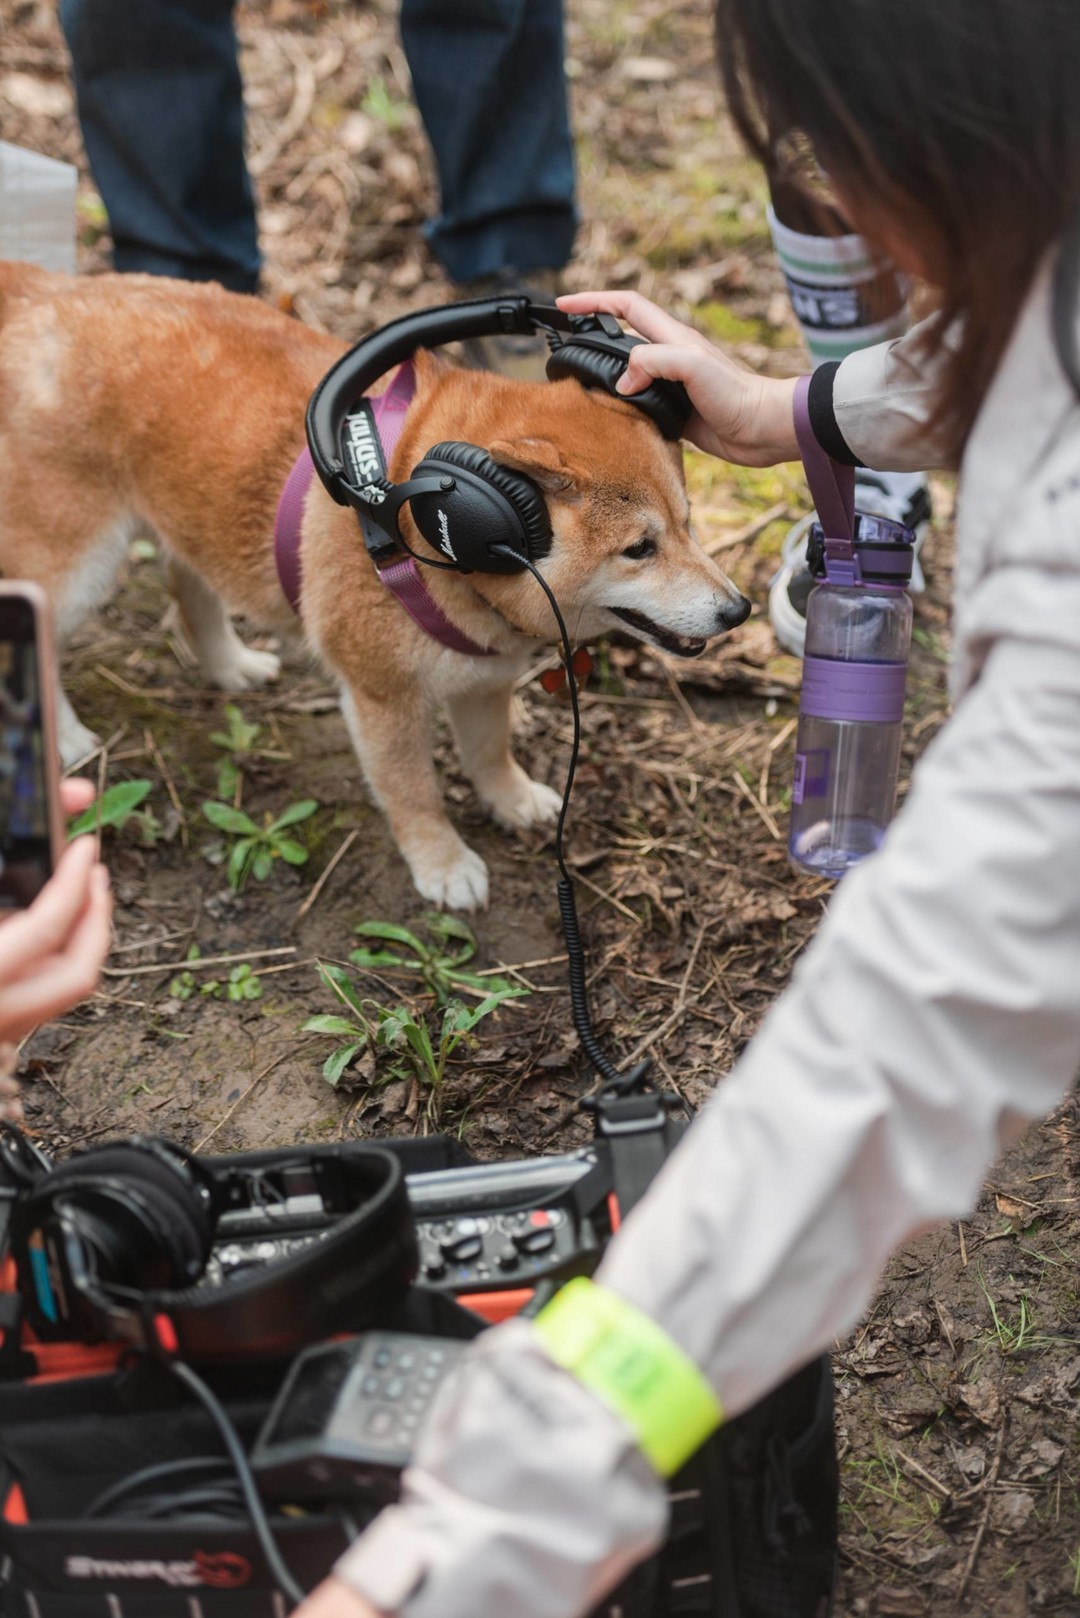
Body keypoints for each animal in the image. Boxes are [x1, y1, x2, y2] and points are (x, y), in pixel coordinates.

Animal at [0, 258, 748, 906]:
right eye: (640, 549)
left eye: (688, 525)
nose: (737, 610)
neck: (424, 529)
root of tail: (49, 289)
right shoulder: (382, 700)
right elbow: (414, 792)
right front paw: (441, 864)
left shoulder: (484, 681)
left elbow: (489, 753)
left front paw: (511, 799)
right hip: (78, 568)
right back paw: (64, 740)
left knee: (191, 592)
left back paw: (229, 664)